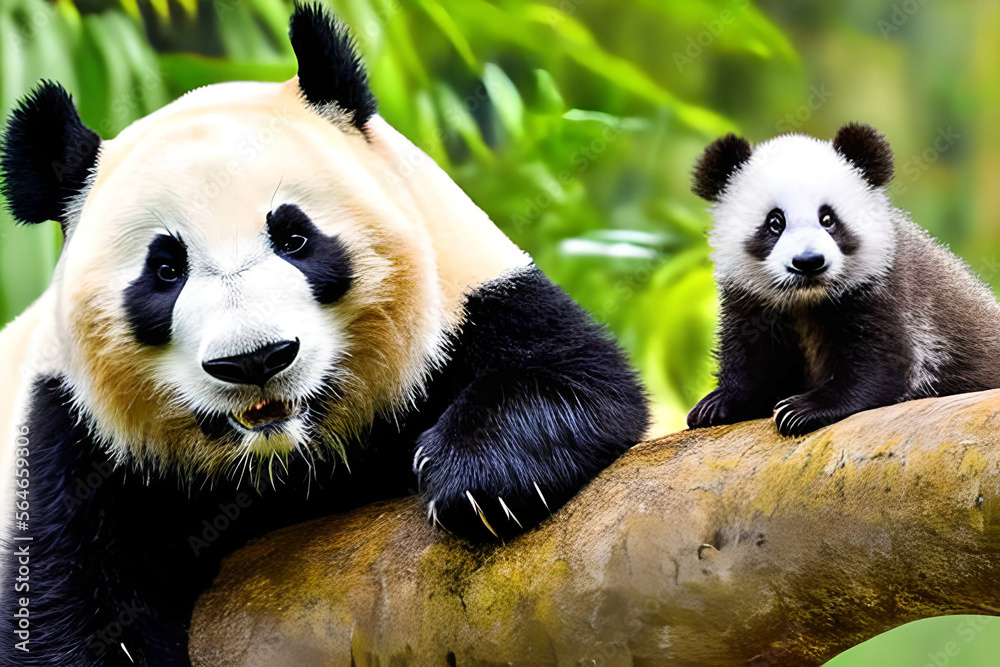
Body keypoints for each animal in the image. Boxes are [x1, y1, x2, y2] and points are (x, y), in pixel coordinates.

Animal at [0, 4, 648, 664]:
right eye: (164, 270)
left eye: (294, 238)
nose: (255, 359)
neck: (285, 460)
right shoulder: (72, 437)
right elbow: (69, 603)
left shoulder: (468, 290)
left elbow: (572, 374)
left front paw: (478, 480)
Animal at [687, 122, 1000, 437]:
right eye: (775, 222)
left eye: (828, 219)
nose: (808, 262)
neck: (808, 300)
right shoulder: (752, 300)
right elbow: (752, 353)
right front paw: (718, 404)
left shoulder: (888, 291)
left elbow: (885, 363)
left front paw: (802, 409)